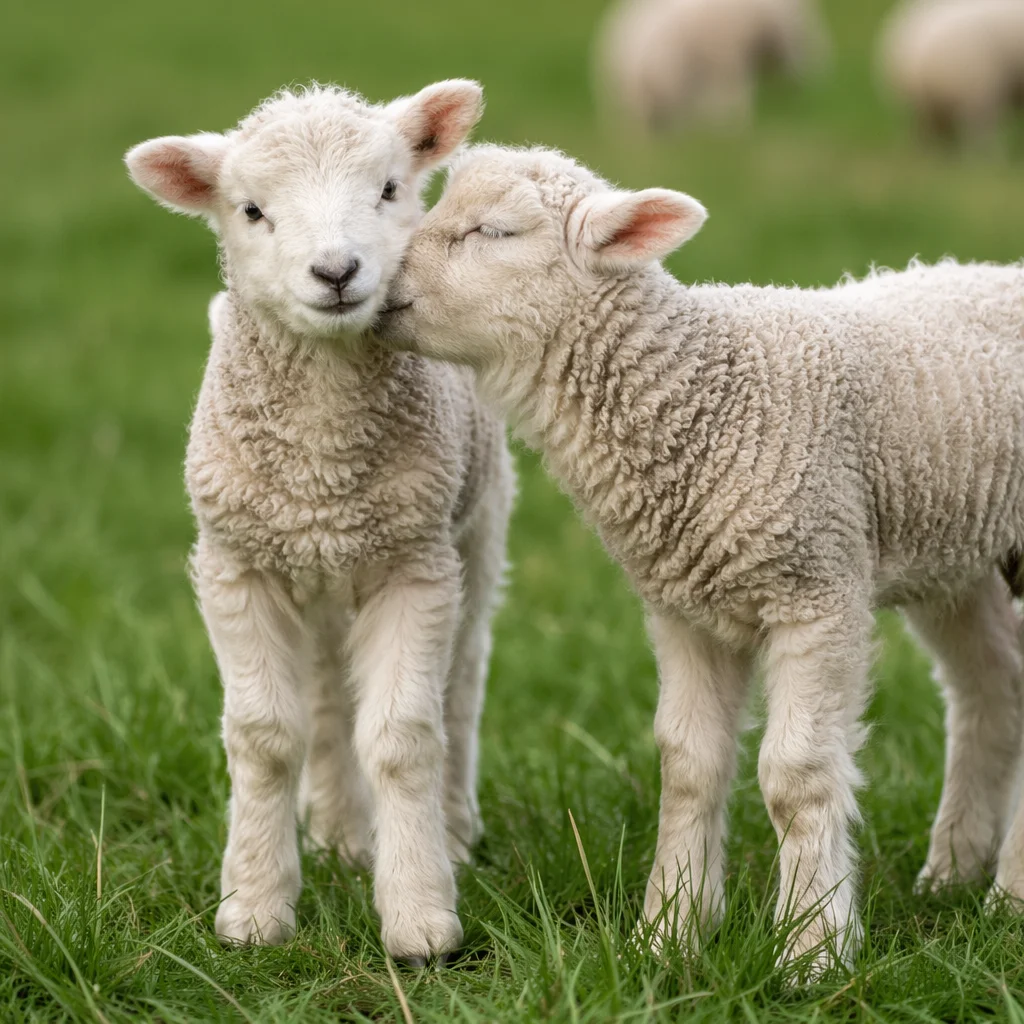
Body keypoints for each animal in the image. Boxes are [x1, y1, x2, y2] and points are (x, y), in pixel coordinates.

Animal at [123, 83, 516, 963]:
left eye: (390, 189)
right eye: (252, 210)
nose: (336, 272)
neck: (322, 462)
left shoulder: (415, 563)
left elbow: (403, 737)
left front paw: (420, 918)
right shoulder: (238, 564)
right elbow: (266, 737)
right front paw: (254, 911)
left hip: (474, 532)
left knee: (463, 686)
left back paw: (452, 830)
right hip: (321, 578)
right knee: (330, 700)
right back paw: (338, 836)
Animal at [376, 143, 1024, 974]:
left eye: (492, 231)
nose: (365, 281)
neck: (707, 395)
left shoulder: (815, 587)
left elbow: (794, 777)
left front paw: (811, 951)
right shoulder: (686, 608)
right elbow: (687, 767)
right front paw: (670, 934)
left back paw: (1007, 892)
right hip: (958, 556)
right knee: (993, 687)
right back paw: (958, 874)